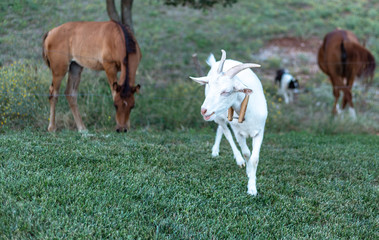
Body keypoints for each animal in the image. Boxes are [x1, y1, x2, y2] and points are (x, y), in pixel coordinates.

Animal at [191, 49, 268, 196]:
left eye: (226, 91)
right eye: (209, 86)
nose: (203, 110)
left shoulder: (260, 131)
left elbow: (254, 158)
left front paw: (252, 187)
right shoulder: (238, 133)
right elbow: (246, 153)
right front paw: (248, 173)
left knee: (221, 129)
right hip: (218, 116)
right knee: (225, 131)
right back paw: (232, 157)